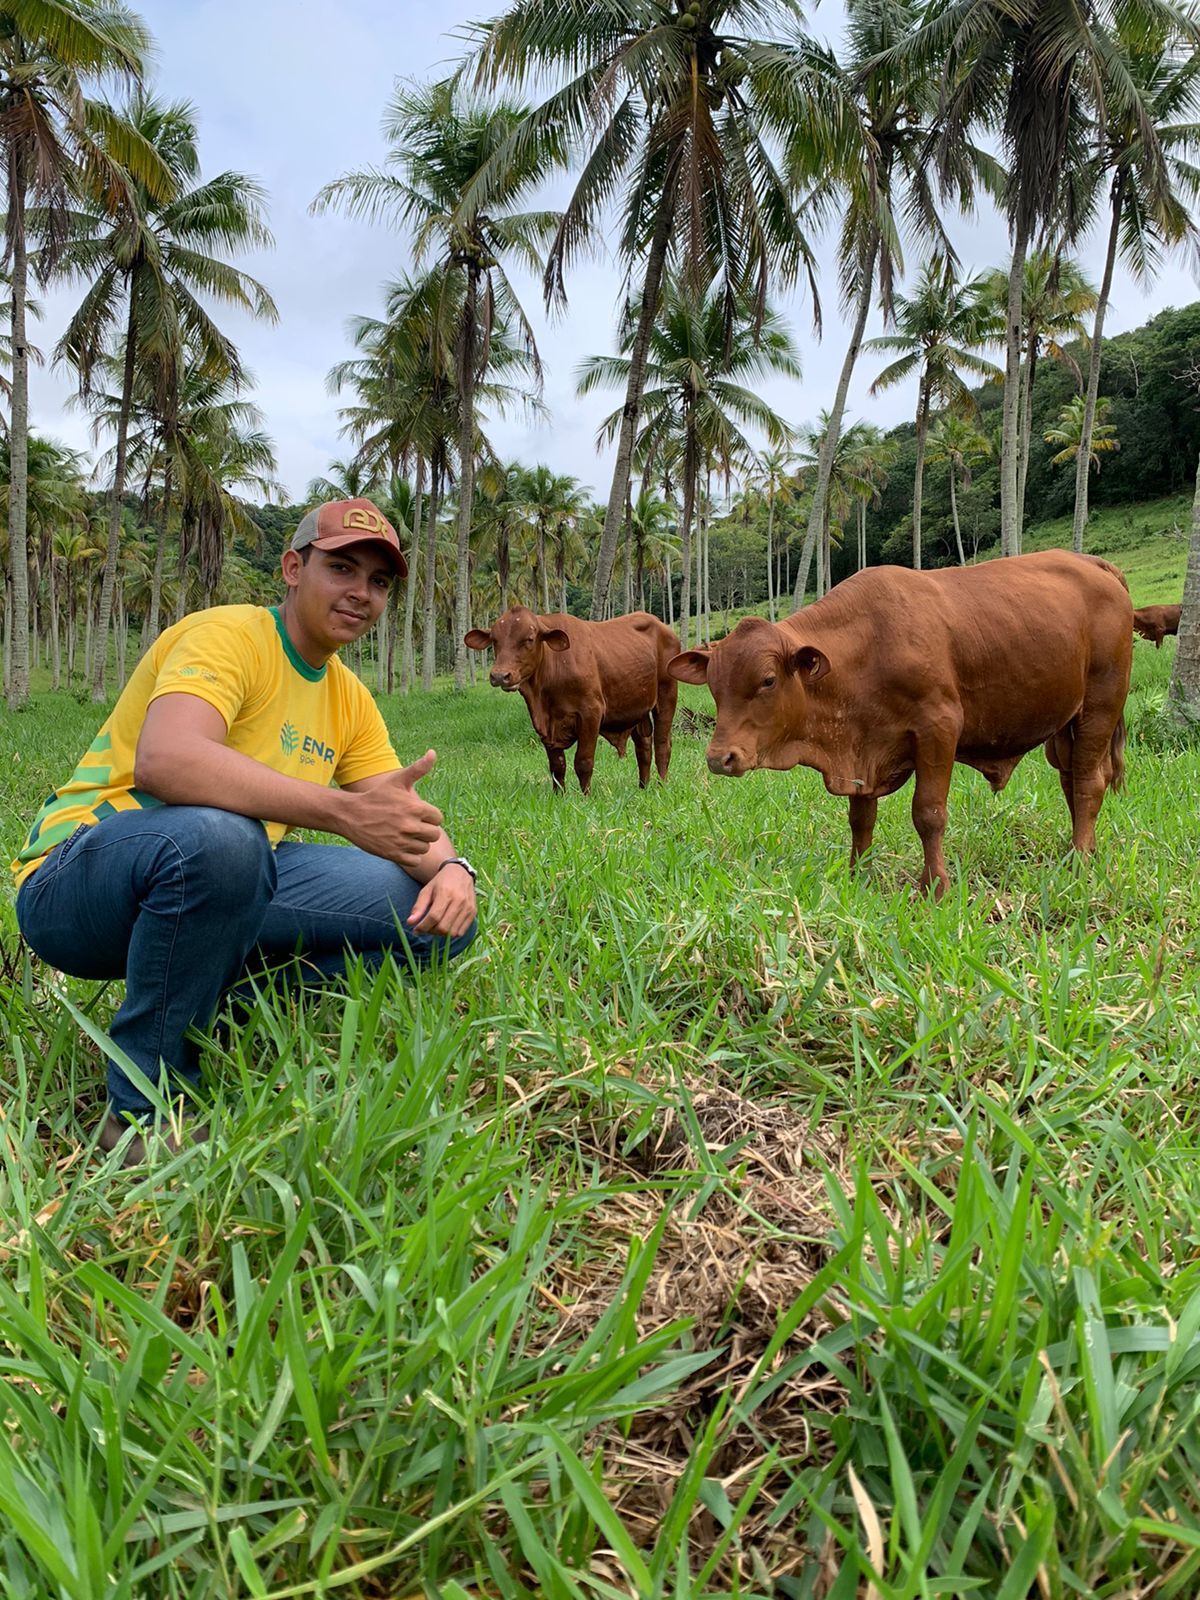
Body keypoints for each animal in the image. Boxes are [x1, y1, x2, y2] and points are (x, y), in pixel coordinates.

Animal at [464, 601, 681, 790]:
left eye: (529, 639)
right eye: (494, 640)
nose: (500, 676)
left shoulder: (591, 712)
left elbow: (583, 762)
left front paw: (586, 797)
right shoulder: (545, 725)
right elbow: (557, 766)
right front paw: (559, 795)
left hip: (667, 695)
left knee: (662, 745)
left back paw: (662, 786)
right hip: (636, 708)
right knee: (643, 748)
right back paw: (643, 787)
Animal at [672, 553, 1132, 902]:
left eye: (767, 680)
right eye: (713, 684)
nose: (720, 757)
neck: (865, 648)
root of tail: (1095, 563)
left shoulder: (939, 728)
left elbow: (928, 814)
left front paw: (936, 886)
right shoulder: (862, 754)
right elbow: (860, 820)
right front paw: (858, 876)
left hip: (1100, 707)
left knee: (1089, 782)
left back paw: (1079, 860)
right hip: (1065, 726)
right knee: (1071, 781)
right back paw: (1081, 850)